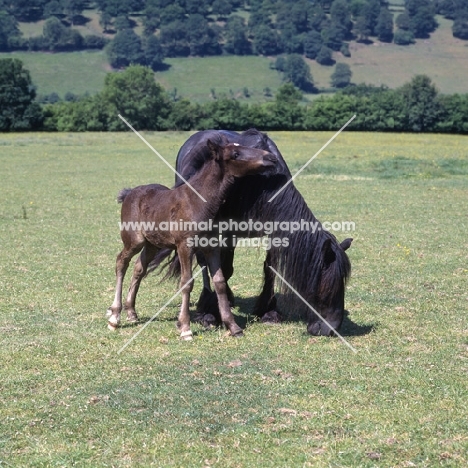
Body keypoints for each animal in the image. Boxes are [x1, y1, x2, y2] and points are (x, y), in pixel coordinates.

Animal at [108, 139, 276, 340]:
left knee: (139, 267)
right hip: (134, 240)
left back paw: (131, 312)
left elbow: (219, 281)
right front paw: (185, 328)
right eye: (235, 154)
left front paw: (233, 326)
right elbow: (187, 282)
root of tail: (129, 193)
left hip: (152, 244)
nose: (270, 157)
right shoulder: (184, 246)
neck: (199, 203)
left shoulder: (211, 247)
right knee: (121, 262)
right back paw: (114, 316)